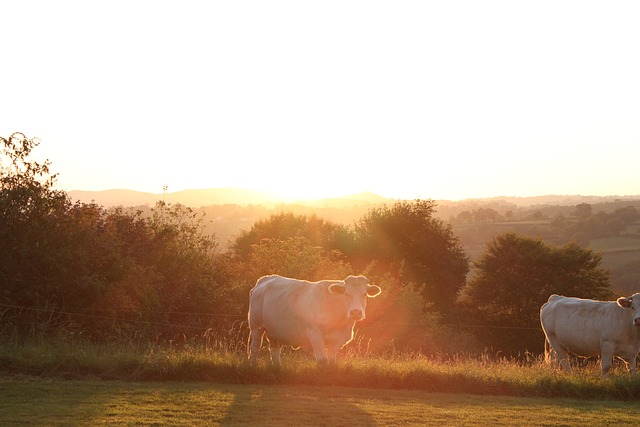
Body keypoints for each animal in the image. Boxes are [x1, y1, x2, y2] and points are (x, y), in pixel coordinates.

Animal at [249, 276, 380, 366]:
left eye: (364, 294)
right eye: (346, 294)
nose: (356, 312)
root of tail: (266, 279)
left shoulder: (338, 338)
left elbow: (332, 361)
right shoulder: (314, 333)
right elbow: (323, 359)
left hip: (275, 331)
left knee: (275, 350)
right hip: (256, 326)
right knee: (255, 347)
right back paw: (253, 366)